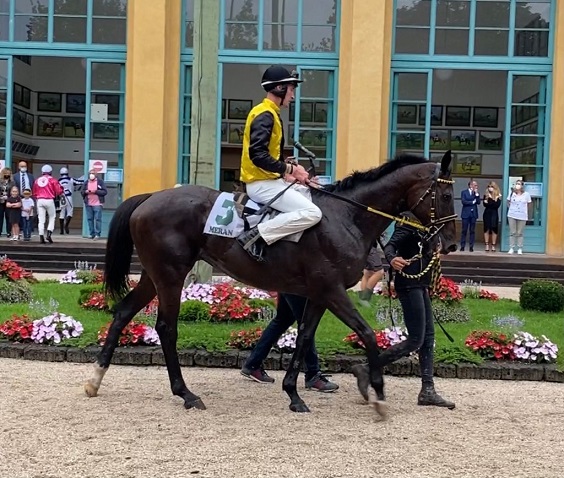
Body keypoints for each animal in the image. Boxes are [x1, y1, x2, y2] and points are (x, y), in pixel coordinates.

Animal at [87, 151, 458, 412]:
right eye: (445, 196)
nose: (452, 242)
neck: (347, 217)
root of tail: (149, 197)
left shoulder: (318, 294)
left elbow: (304, 336)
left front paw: (293, 393)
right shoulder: (332, 290)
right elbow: (366, 334)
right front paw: (375, 389)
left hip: (154, 275)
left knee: (123, 312)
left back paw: (95, 379)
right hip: (170, 275)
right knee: (166, 327)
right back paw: (186, 393)